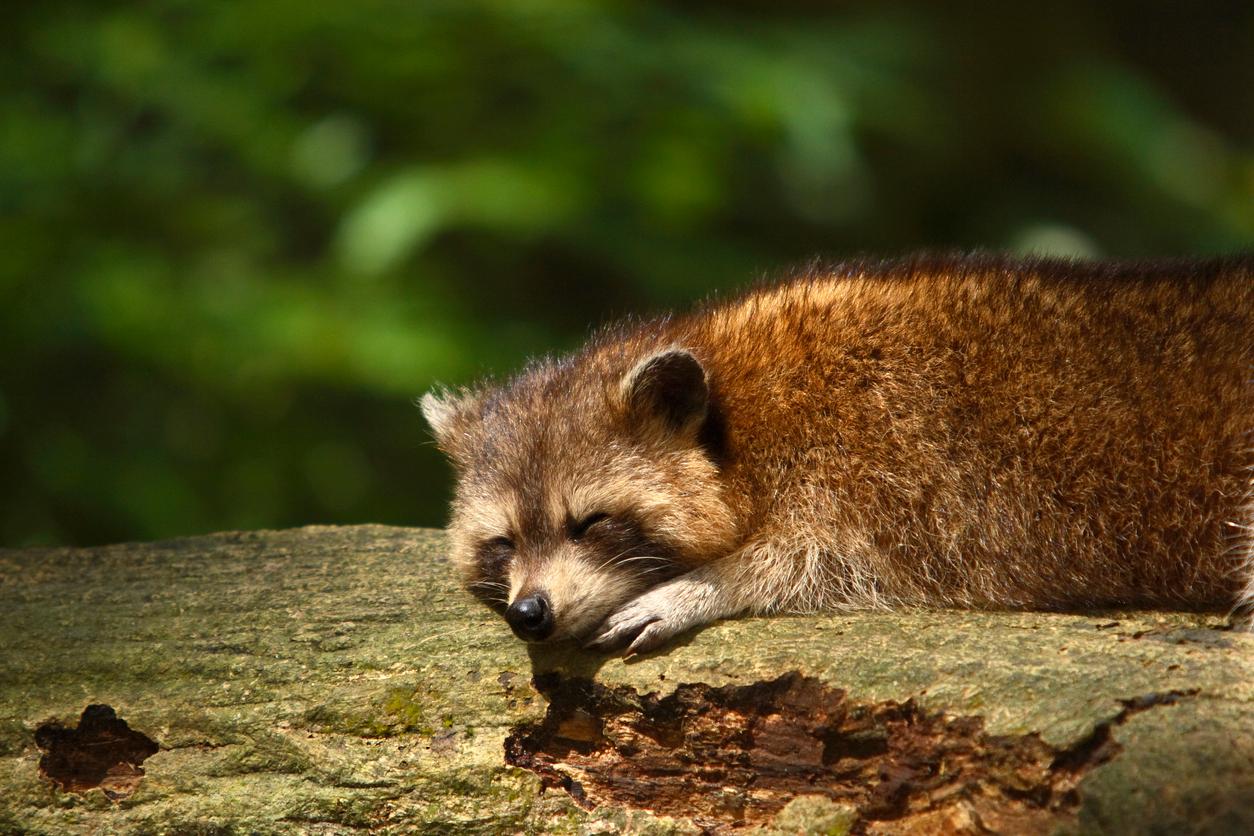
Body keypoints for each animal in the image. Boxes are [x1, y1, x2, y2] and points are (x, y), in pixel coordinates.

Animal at [423, 253, 1254, 651]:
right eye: (503, 542)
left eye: (591, 523)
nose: (530, 613)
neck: (738, 418)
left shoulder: (893, 465)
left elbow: (820, 560)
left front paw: (712, 582)